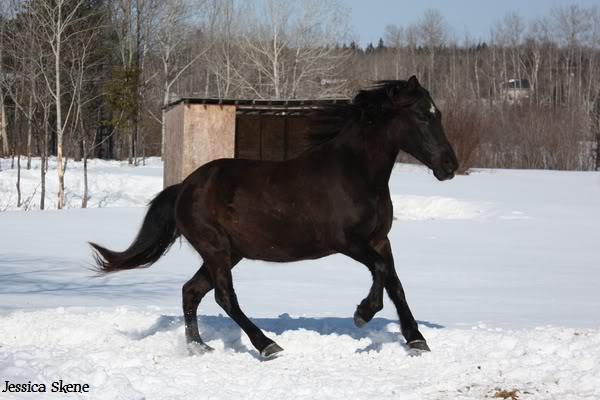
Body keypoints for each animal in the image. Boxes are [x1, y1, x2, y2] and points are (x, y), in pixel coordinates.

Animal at [91, 76, 460, 358]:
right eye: (422, 117)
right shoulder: (347, 241)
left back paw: (200, 347)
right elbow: (382, 273)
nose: (450, 165)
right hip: (216, 249)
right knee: (224, 297)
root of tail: (184, 187)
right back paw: (267, 345)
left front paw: (416, 339)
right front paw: (362, 313)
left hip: (229, 253)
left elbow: (395, 283)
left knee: (191, 291)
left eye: (438, 113)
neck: (354, 174)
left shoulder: (379, 239)